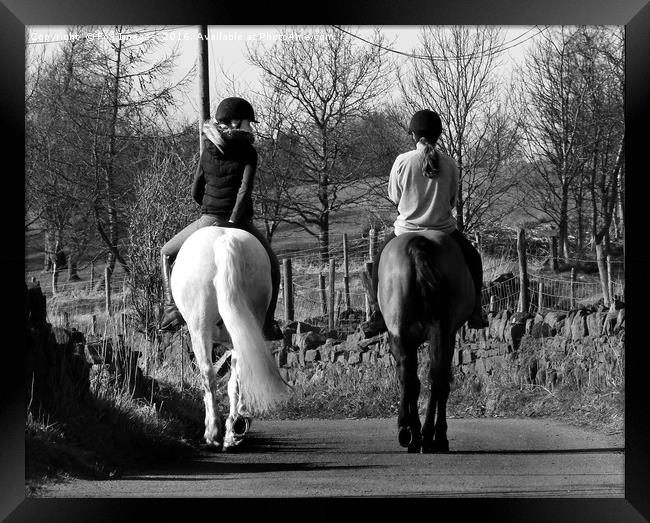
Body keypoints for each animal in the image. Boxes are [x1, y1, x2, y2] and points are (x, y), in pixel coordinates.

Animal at [171, 227, 288, 452]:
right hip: (248, 325)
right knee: (240, 374)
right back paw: (235, 429)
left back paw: (213, 433)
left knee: (207, 374)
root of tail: (224, 242)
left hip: (199, 327)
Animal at [374, 231, 470, 452]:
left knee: (410, 377)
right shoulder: (448, 336)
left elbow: (410, 381)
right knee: (436, 378)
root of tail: (418, 243)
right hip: (440, 333)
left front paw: (412, 429)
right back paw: (431, 436)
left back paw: (410, 431)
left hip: (401, 333)